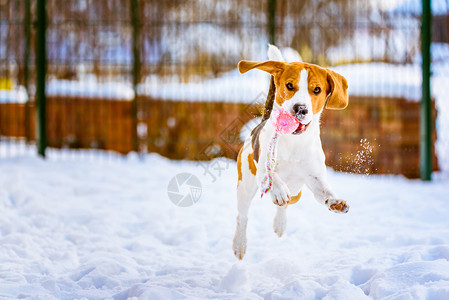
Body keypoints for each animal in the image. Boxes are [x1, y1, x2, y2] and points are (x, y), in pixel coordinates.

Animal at [233, 46, 348, 260]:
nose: (300, 108)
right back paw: (239, 244)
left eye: (317, 90)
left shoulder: (315, 178)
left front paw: (335, 201)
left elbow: (324, 192)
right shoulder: (263, 170)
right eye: (289, 85)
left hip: (296, 191)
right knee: (242, 216)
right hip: (245, 185)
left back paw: (280, 222)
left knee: (285, 205)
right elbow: (271, 176)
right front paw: (278, 188)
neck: (295, 141)